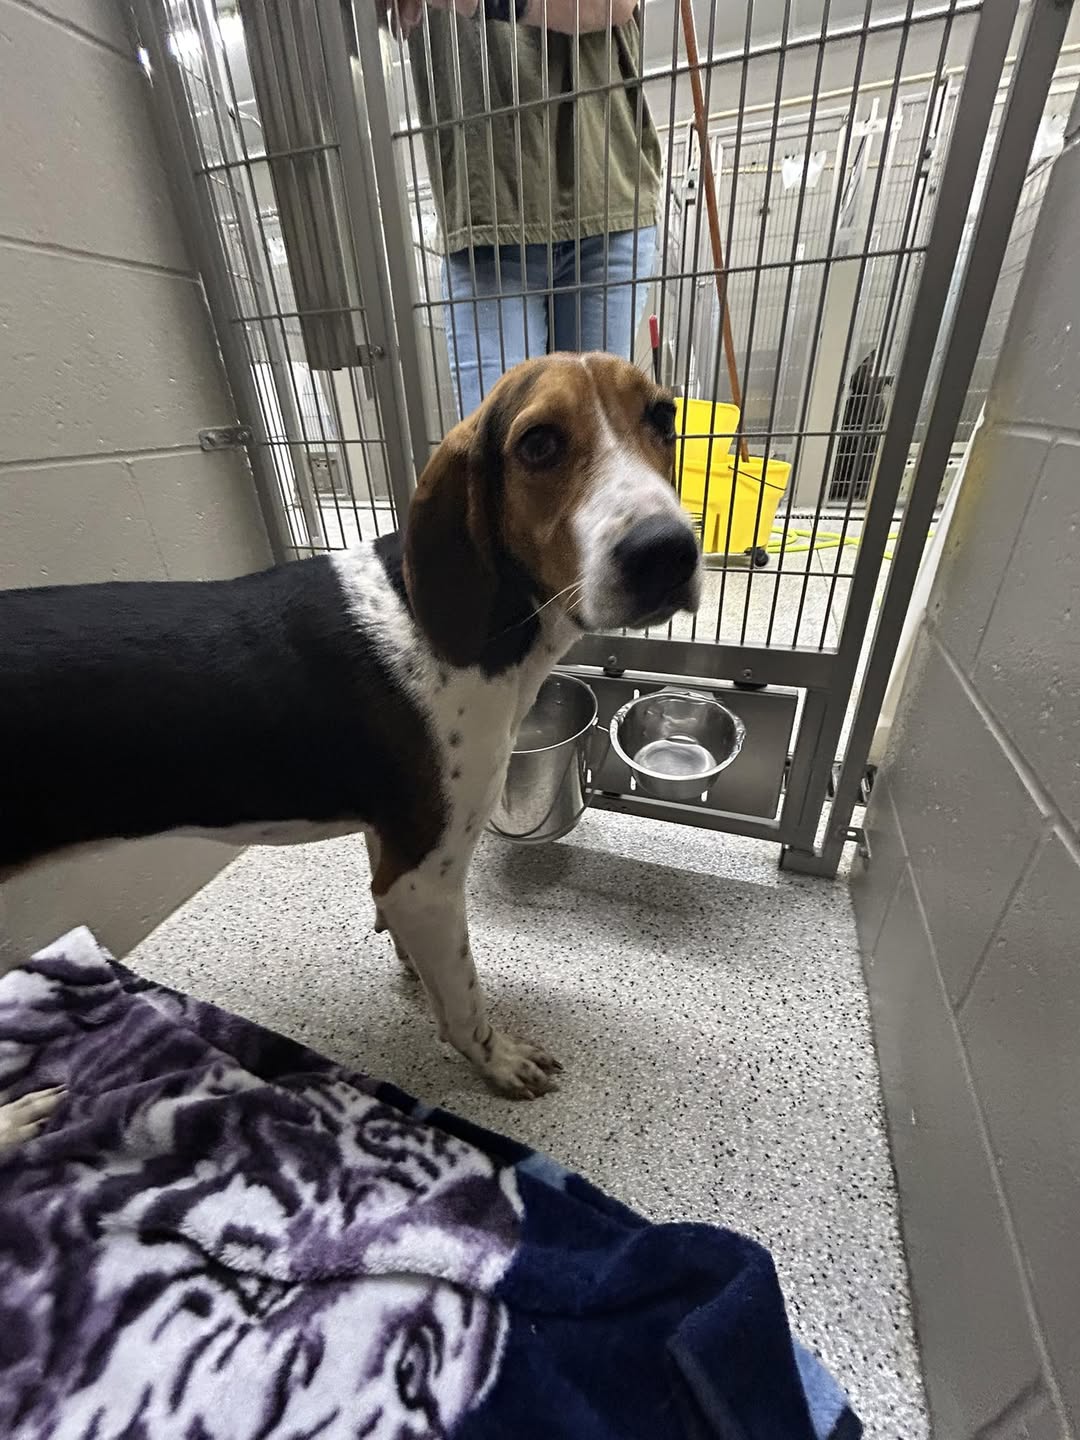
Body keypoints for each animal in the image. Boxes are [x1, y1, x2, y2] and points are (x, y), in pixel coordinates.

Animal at [0, 353, 701, 1117]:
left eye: (663, 417)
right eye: (538, 443)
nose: (669, 552)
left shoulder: (391, 851)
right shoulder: (425, 877)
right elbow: (463, 997)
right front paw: (497, 1060)